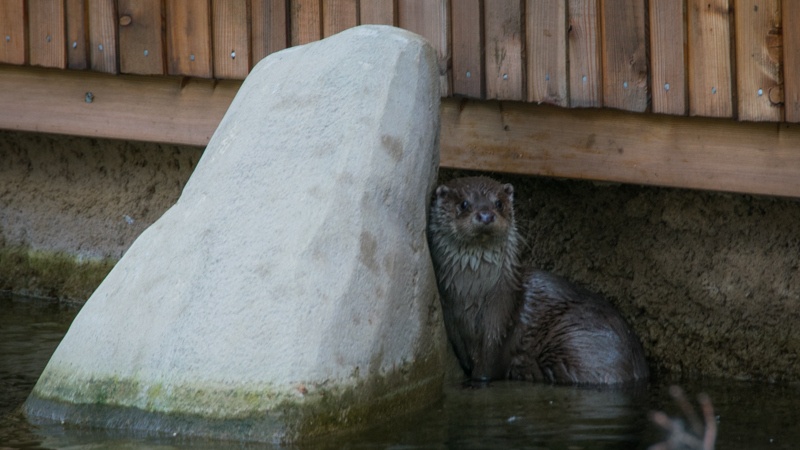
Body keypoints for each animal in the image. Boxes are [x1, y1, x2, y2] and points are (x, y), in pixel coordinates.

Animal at [428, 176, 648, 384]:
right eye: (463, 204)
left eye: (498, 203)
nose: (485, 215)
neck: (473, 293)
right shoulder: (451, 317)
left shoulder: (500, 317)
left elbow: (488, 363)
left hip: (578, 343)